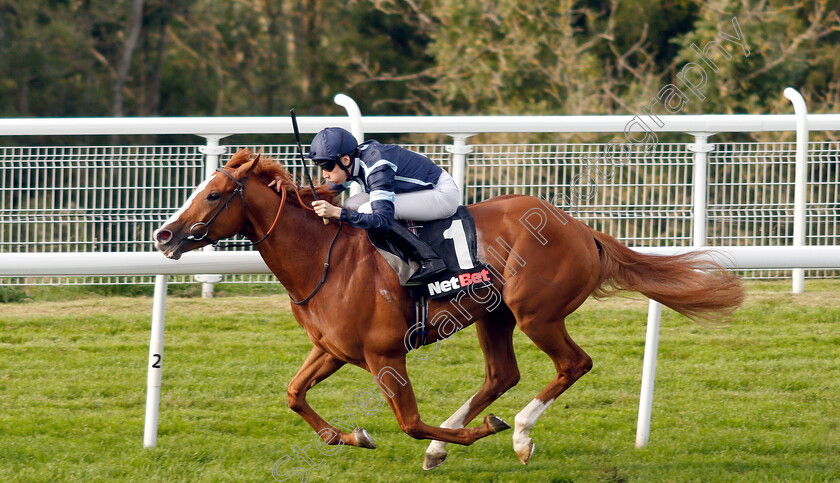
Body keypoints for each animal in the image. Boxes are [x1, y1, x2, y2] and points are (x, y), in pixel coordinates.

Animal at [153, 150, 740, 468]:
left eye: (213, 196)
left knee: (573, 364)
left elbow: (410, 422)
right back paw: (458, 440)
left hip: (536, 313)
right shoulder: (333, 349)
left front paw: (478, 434)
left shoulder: (385, 355)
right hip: (494, 316)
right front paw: (350, 435)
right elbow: (294, 394)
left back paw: (519, 432)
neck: (324, 258)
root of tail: (579, 228)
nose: (164, 235)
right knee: (501, 375)